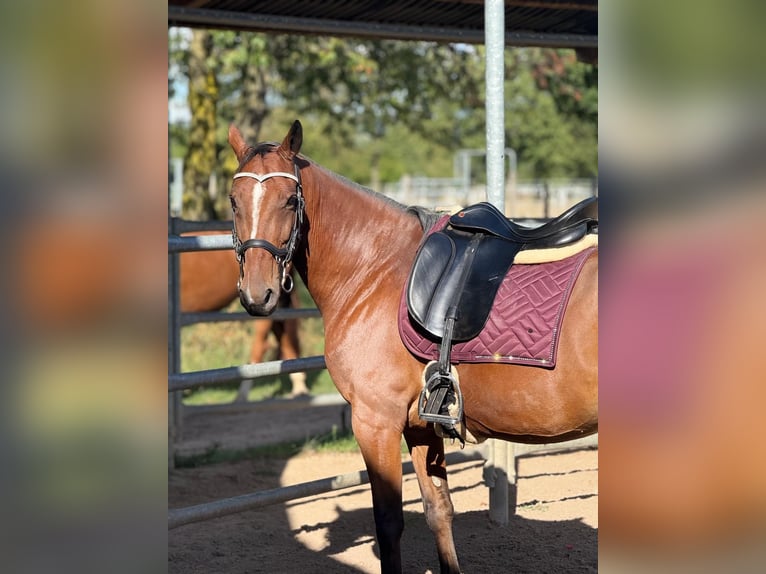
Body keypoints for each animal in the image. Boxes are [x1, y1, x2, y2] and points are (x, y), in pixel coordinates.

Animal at [227, 120, 598, 573]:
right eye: (233, 201)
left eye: (290, 199)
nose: (257, 294)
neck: (376, 269)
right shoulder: (421, 425)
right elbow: (439, 509)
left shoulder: (376, 422)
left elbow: (389, 524)